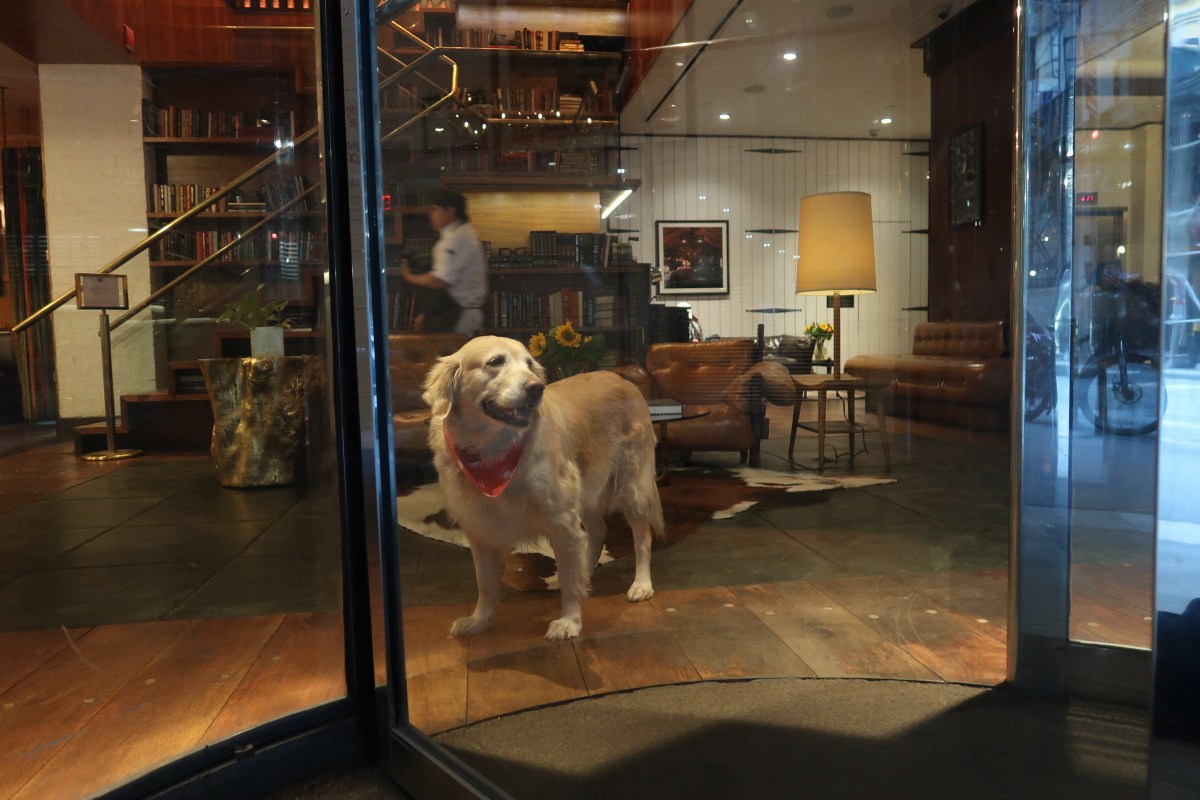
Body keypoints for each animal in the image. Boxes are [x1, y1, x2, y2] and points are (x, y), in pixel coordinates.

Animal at [422, 335, 667, 642]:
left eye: (529, 364)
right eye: (495, 362)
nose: (536, 387)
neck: (492, 451)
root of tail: (622, 379)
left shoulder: (562, 522)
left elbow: (569, 581)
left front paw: (569, 621)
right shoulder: (480, 529)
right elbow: (485, 584)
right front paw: (478, 621)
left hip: (633, 486)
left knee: (642, 539)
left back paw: (641, 584)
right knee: (597, 532)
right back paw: (585, 571)